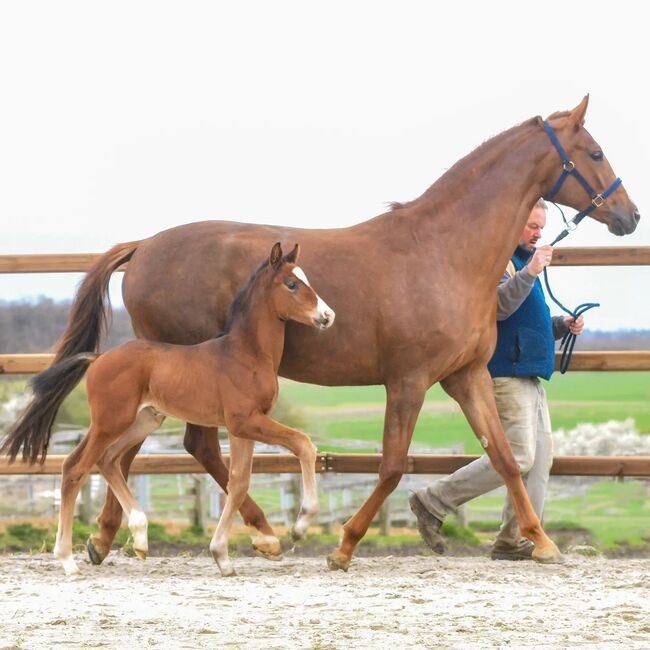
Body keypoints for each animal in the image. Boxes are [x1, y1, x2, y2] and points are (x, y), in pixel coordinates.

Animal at [2, 243, 332, 572]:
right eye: (291, 284)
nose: (327, 316)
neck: (245, 354)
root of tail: (98, 358)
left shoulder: (244, 426)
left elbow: (238, 483)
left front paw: (223, 556)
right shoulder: (245, 421)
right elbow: (303, 444)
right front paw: (300, 525)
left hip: (143, 421)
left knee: (105, 460)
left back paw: (139, 536)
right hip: (110, 422)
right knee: (75, 469)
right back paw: (68, 560)